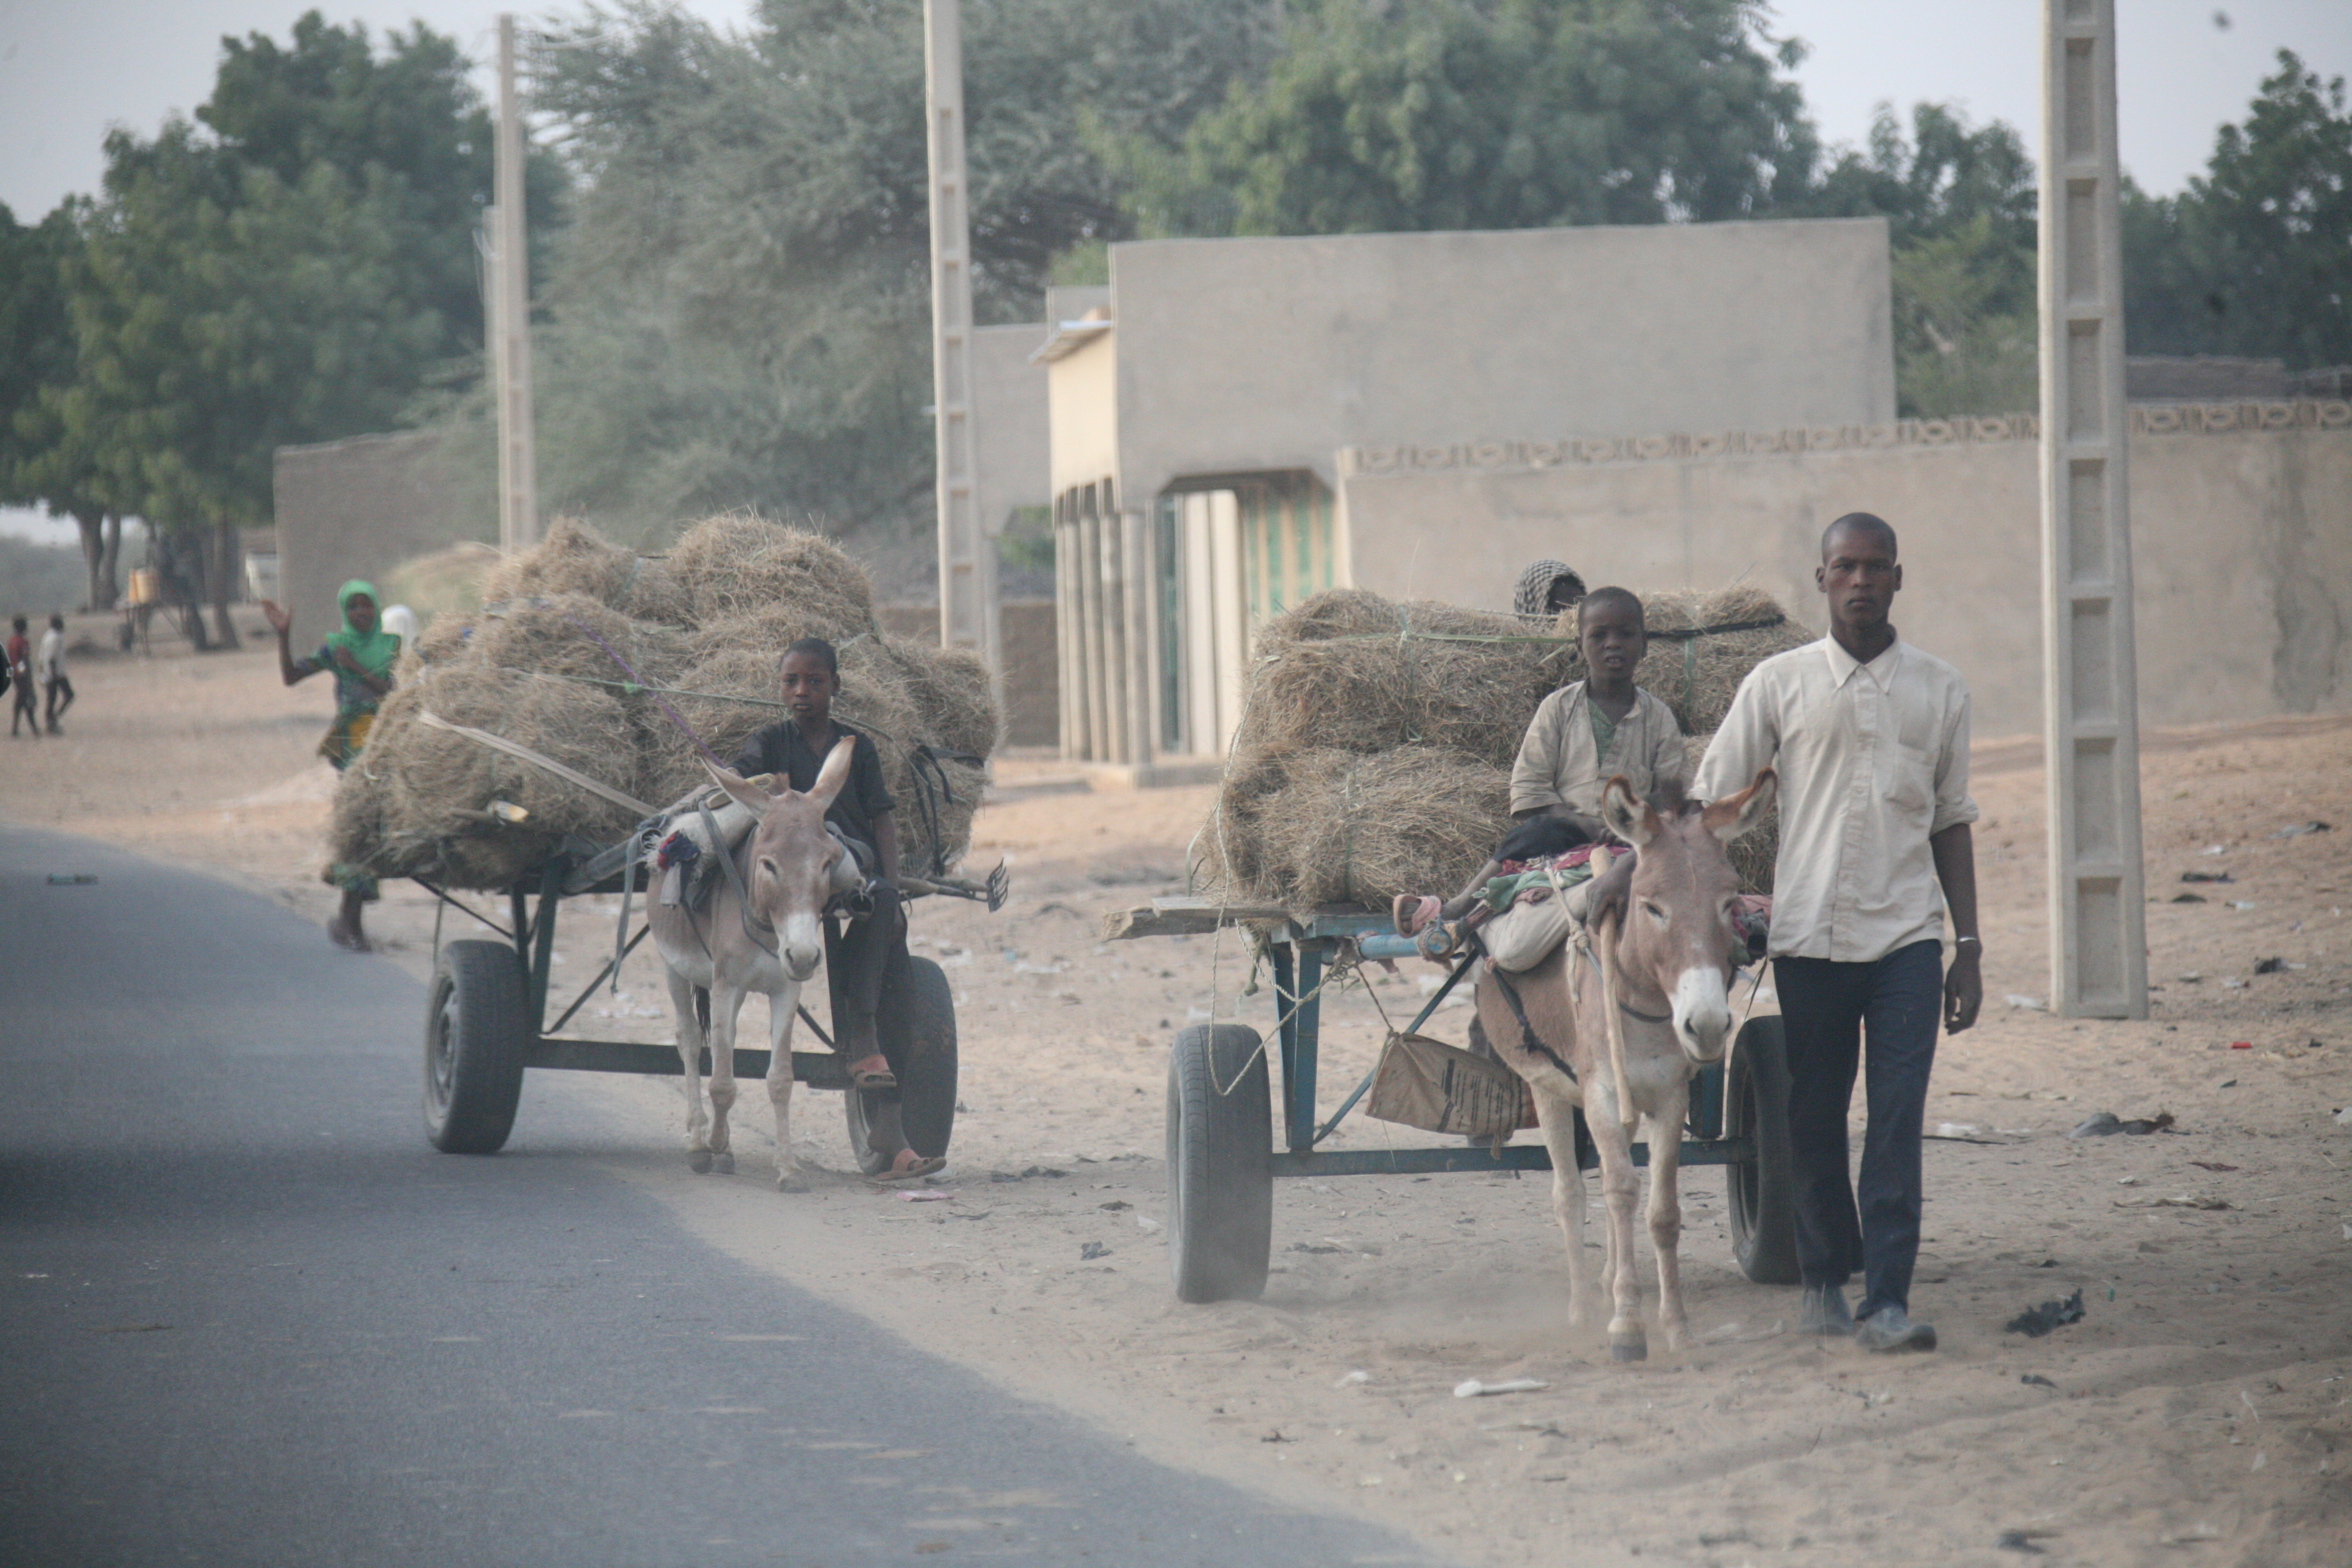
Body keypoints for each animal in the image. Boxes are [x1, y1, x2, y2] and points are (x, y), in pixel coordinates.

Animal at [646, 738, 861, 1191]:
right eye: (769, 864)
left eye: (828, 863)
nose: (804, 955)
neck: (768, 927)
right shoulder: (726, 985)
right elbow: (722, 1083)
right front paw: (713, 1143)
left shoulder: (786, 989)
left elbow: (780, 1079)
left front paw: (789, 1169)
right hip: (674, 967)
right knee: (689, 1040)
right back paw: (699, 1142)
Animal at [1475, 769, 1776, 1360]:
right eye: (1652, 906)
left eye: (1729, 900)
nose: (1708, 1025)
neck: (1644, 993)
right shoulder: (1601, 1093)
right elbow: (1617, 1192)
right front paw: (1626, 1327)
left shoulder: (1667, 1095)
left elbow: (1660, 1209)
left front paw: (1675, 1325)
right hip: (1547, 1086)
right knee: (1572, 1194)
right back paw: (1581, 1307)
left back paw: (1609, 1280)